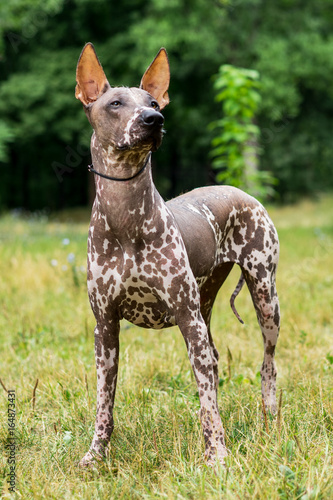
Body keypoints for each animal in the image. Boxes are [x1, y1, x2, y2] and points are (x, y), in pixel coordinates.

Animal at [75, 44, 280, 468]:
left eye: (154, 102)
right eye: (115, 103)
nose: (154, 119)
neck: (126, 218)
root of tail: (239, 189)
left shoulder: (187, 320)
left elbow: (208, 404)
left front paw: (216, 455)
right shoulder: (105, 329)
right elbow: (104, 403)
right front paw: (96, 454)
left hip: (263, 298)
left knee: (266, 362)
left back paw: (269, 415)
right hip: (206, 305)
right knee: (215, 365)